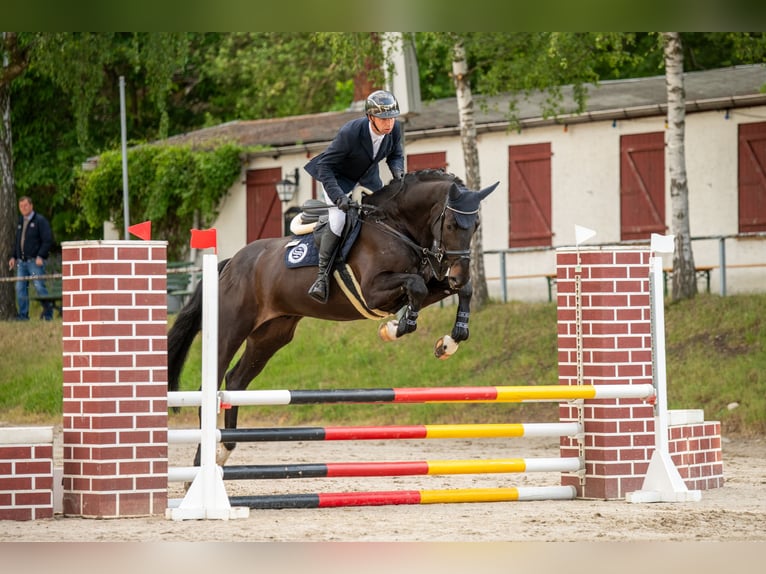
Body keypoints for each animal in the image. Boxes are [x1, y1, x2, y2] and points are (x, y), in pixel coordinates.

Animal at [170, 170, 498, 468]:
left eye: (477, 226)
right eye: (452, 224)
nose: (457, 273)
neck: (398, 227)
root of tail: (229, 264)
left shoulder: (429, 283)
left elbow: (458, 290)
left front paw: (450, 341)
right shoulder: (373, 292)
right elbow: (415, 286)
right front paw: (397, 327)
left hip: (271, 335)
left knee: (236, 380)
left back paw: (225, 449)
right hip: (230, 328)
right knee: (211, 385)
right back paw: (203, 458)